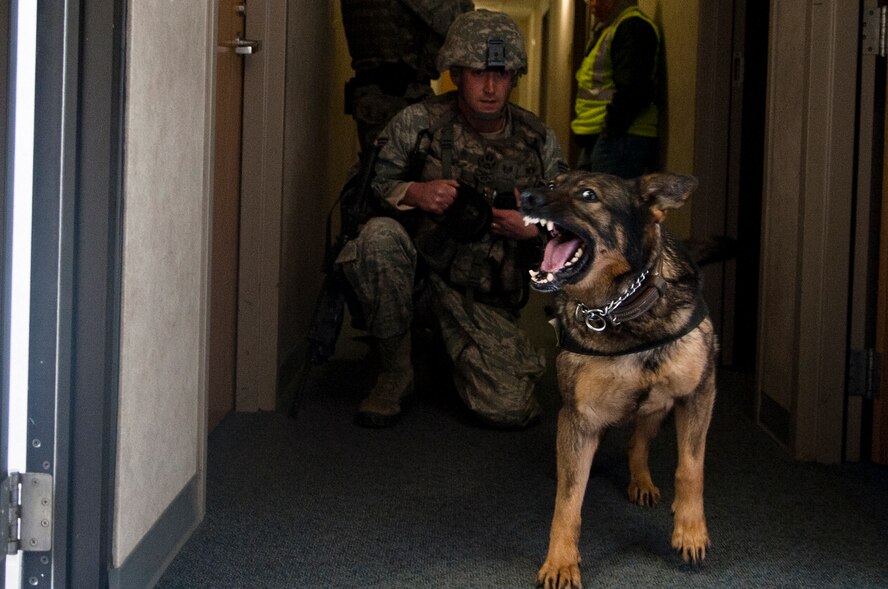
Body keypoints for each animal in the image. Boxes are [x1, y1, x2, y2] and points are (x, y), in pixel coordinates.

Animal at [520, 170, 716, 588]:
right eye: (551, 182)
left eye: (587, 195)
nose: (525, 195)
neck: (621, 310)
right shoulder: (579, 419)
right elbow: (567, 502)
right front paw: (561, 562)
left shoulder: (699, 393)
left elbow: (691, 468)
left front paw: (691, 530)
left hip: (659, 407)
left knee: (638, 441)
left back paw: (642, 482)